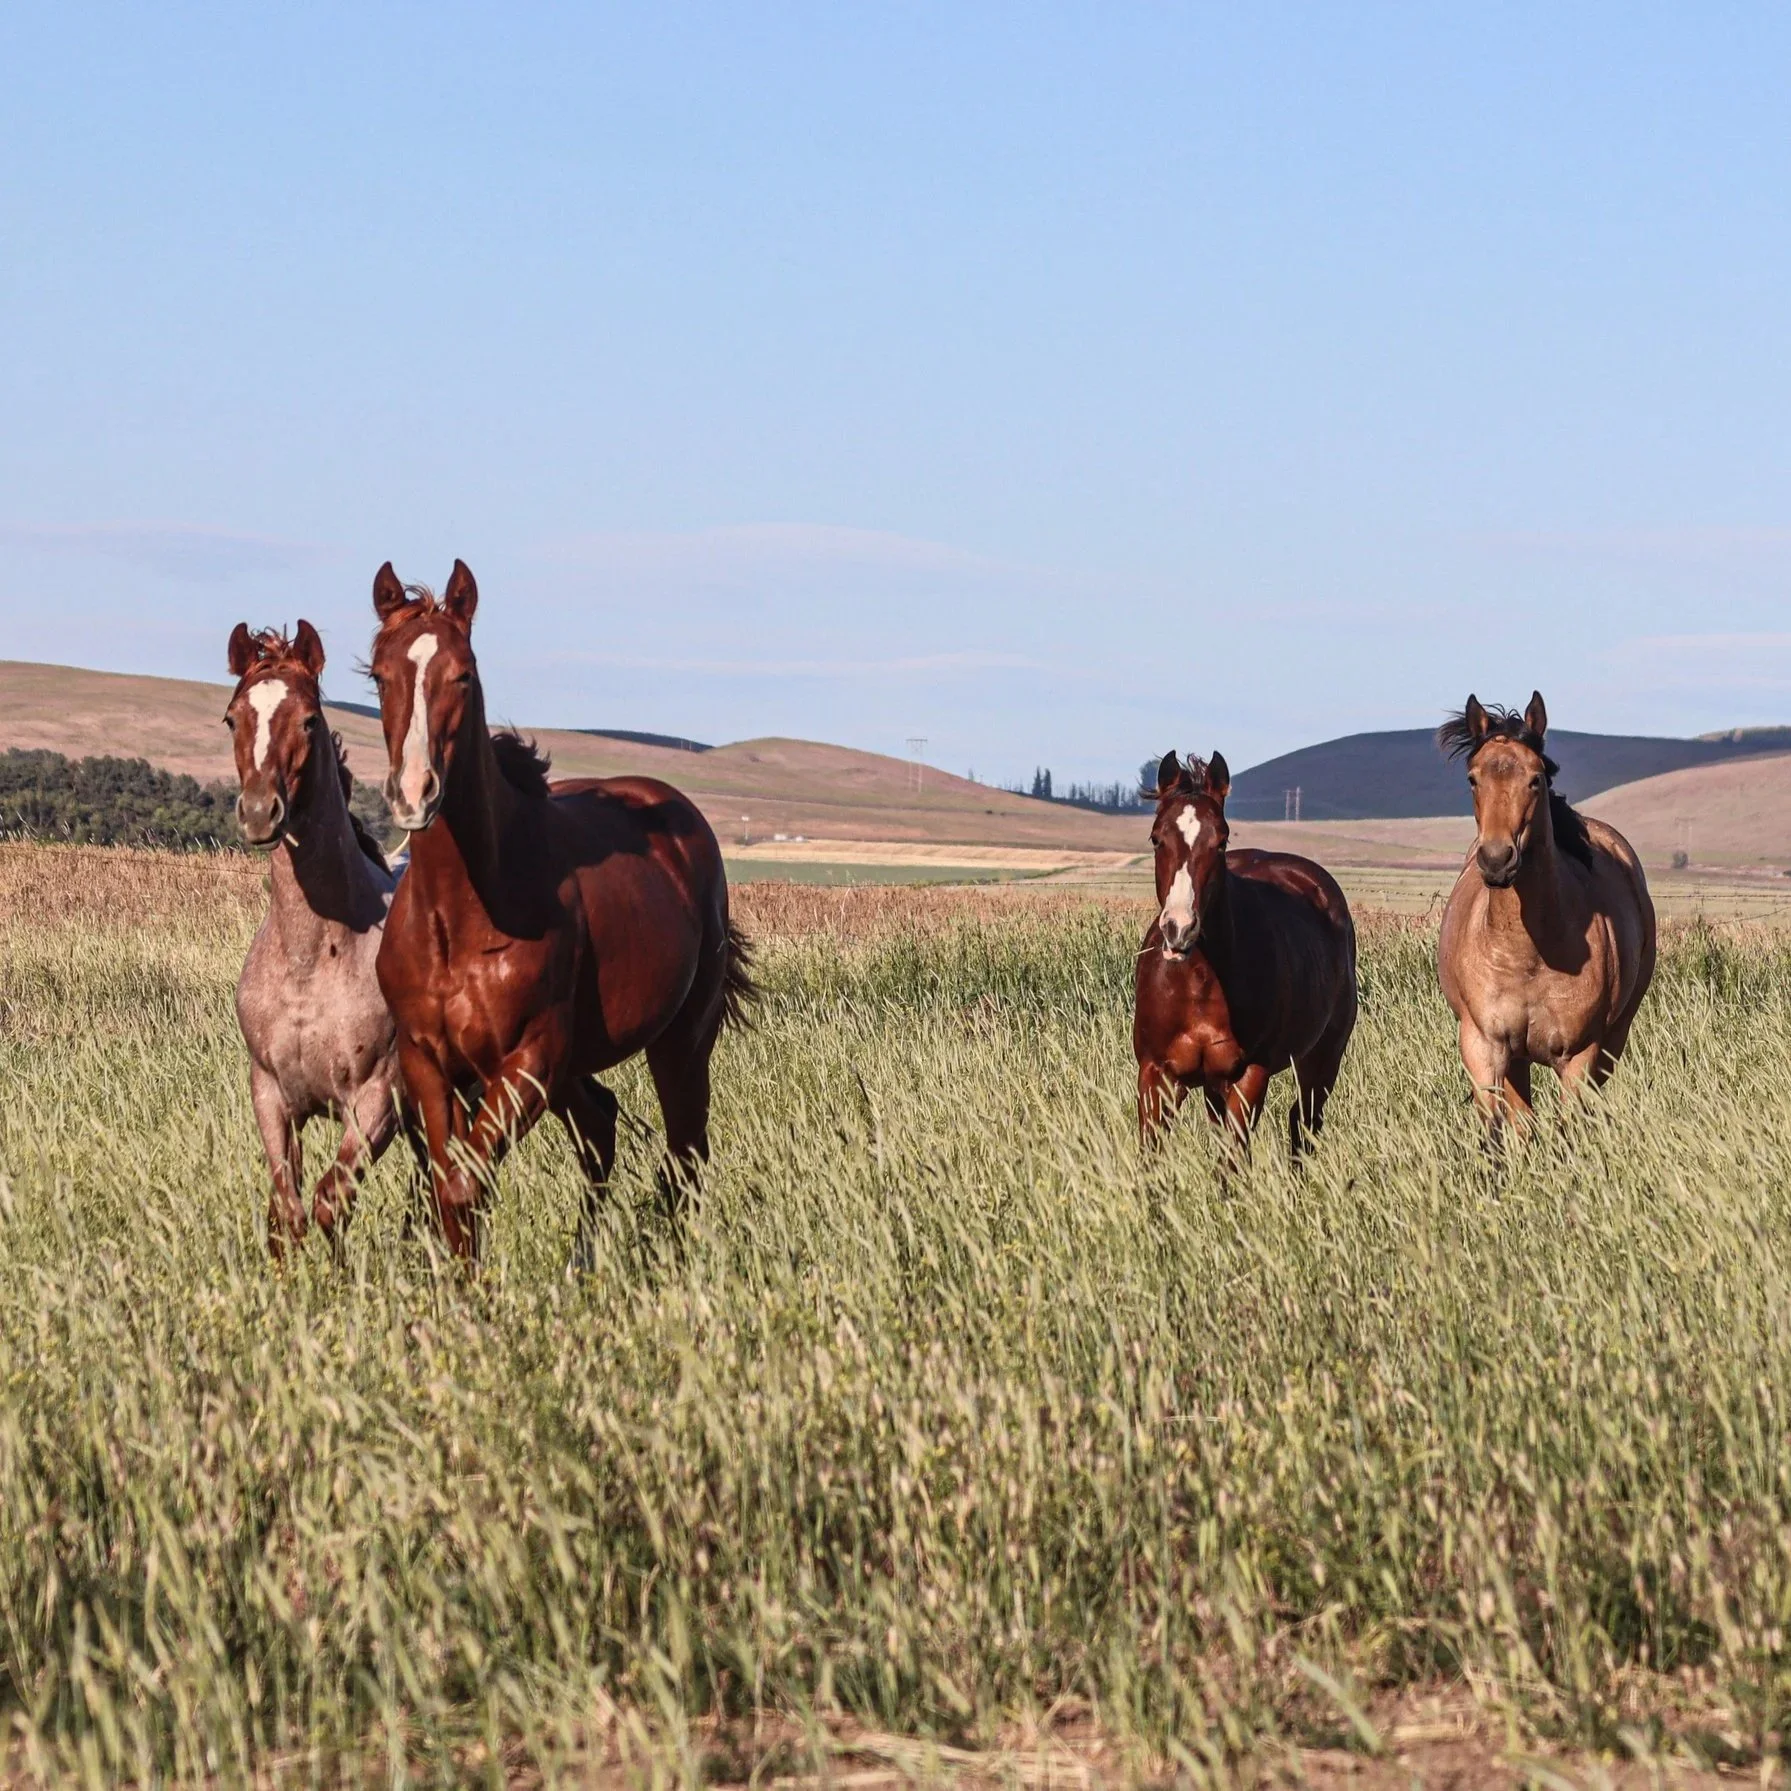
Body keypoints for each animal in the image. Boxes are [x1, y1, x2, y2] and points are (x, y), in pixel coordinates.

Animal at [225, 620, 410, 1256]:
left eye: (308, 720)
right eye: (232, 718)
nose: (260, 812)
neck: (311, 960)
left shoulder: (376, 1102)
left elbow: (331, 1204)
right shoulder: (272, 1097)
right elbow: (286, 1212)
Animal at [365, 560, 754, 1262]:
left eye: (464, 673)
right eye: (379, 675)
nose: (414, 794)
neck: (460, 919)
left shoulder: (530, 1059)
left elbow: (464, 1184)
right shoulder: (428, 1063)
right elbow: (450, 1184)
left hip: (681, 1041)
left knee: (685, 1152)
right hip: (577, 1067)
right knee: (601, 1127)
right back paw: (584, 1263)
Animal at [1133, 749, 1358, 1153]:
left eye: (1221, 841)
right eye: (1157, 838)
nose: (1179, 929)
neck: (1199, 986)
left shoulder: (1249, 1076)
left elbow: (1234, 1157)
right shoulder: (1157, 1075)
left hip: (1322, 1058)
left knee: (1304, 1123)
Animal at [1437, 691, 1656, 1132]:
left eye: (1535, 779)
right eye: (1473, 778)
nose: (1497, 859)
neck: (1528, 954)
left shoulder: (1579, 1057)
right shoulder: (1484, 1048)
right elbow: (1497, 1130)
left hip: (1612, 1041)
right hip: (1516, 1060)